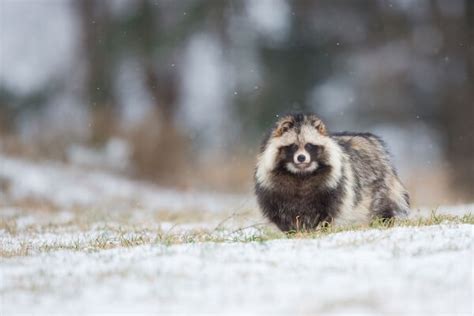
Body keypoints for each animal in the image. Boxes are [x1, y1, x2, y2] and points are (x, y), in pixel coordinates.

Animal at [254, 112, 410, 231]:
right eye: (292, 146)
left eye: (309, 145)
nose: (301, 158)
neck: (301, 174)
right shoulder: (271, 189)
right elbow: (279, 213)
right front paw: (291, 231)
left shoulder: (332, 185)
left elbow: (327, 212)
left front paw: (319, 229)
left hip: (378, 188)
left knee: (380, 208)